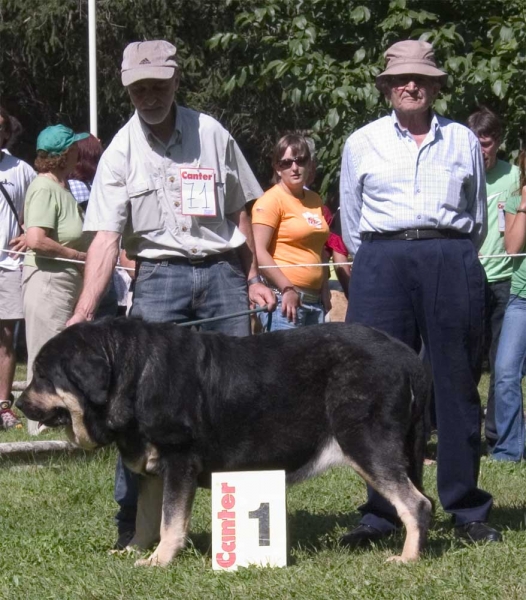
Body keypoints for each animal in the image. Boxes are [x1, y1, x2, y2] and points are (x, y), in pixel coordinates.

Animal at [18, 318, 436, 568]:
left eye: (42, 376)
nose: (18, 403)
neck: (132, 373)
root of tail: (407, 357)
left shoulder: (179, 461)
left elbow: (170, 521)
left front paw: (159, 561)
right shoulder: (152, 472)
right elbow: (146, 519)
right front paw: (132, 550)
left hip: (366, 443)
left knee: (416, 503)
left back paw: (407, 559)